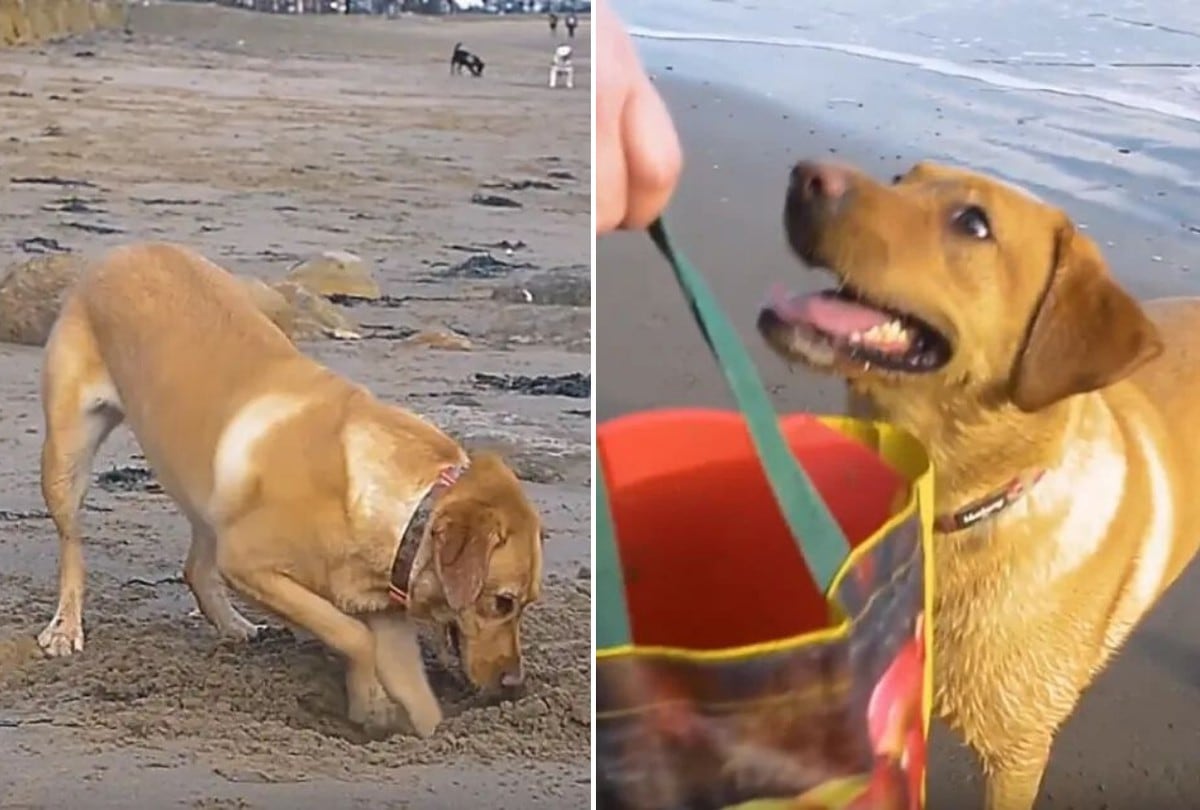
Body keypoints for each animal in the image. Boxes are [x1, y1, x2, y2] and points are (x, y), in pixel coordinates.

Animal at [37, 242, 544, 739]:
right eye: (502, 601)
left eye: (526, 604)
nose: (516, 685)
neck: (396, 503)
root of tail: (124, 250)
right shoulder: (250, 565)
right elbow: (351, 635)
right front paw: (370, 708)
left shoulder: (387, 612)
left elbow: (419, 700)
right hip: (67, 456)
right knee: (72, 544)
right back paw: (65, 627)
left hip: (210, 494)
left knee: (196, 567)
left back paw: (233, 626)